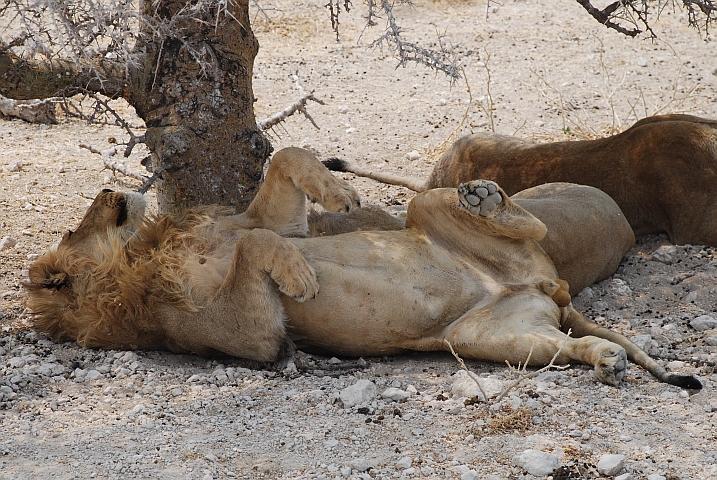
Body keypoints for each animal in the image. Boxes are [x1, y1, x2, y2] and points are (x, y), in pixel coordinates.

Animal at [26, 147, 700, 390]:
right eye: (72, 229)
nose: (110, 192)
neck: (143, 255)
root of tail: (547, 287)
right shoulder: (250, 336)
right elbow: (256, 253)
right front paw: (301, 277)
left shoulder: (270, 223)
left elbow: (283, 162)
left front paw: (336, 194)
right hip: (487, 338)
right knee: (559, 339)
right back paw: (604, 359)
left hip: (430, 218)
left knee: (524, 223)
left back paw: (483, 197)